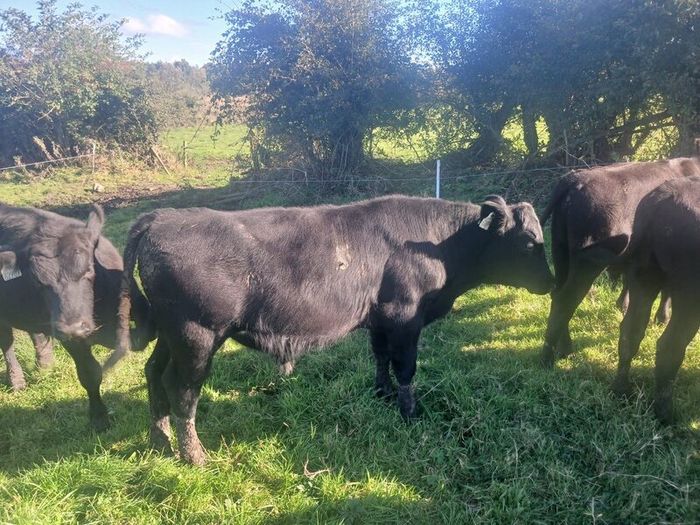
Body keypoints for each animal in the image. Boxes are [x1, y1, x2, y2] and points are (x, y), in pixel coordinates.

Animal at [0, 203, 153, 430]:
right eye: (37, 281)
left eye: (89, 270)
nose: (74, 327)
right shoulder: (70, 338)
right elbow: (90, 373)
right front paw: (99, 419)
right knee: (7, 342)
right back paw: (17, 382)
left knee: (34, 333)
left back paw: (44, 364)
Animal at [109, 194, 554, 465]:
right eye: (529, 242)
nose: (551, 283)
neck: (438, 245)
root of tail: (163, 216)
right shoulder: (405, 318)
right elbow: (406, 368)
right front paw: (410, 412)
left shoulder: (381, 319)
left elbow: (381, 358)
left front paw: (381, 394)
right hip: (196, 335)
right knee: (182, 389)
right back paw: (194, 455)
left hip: (171, 334)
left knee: (153, 373)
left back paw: (160, 440)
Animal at [540, 157, 700, 367]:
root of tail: (574, 179)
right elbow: (665, 293)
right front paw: (662, 317)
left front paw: (623, 304)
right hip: (586, 264)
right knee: (565, 300)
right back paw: (551, 357)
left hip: (560, 253)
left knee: (558, 295)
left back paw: (563, 349)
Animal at [613, 176, 700, 423]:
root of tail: (666, 196)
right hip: (690, 296)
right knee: (670, 346)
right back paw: (665, 413)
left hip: (644, 276)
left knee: (630, 331)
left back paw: (620, 390)